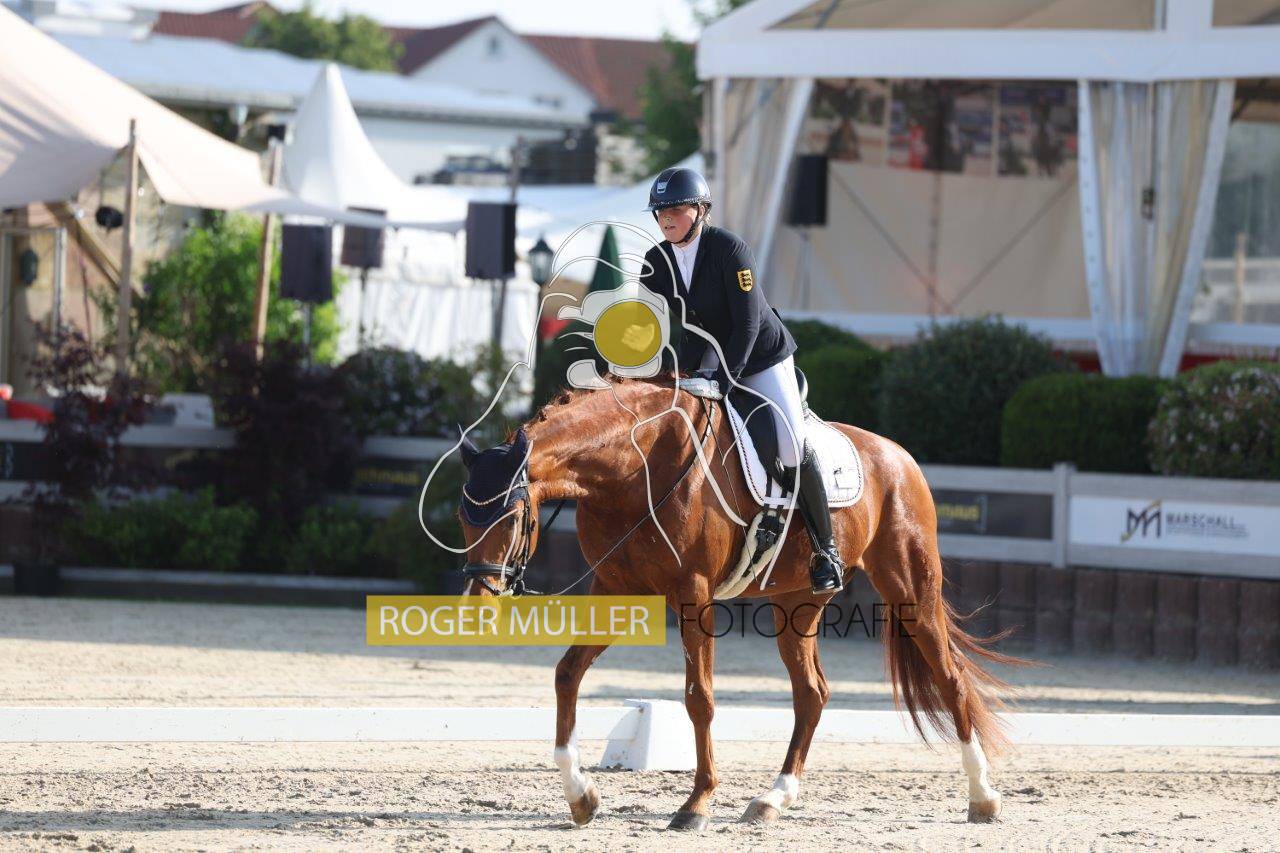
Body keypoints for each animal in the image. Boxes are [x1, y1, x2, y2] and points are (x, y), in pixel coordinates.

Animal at [453, 376, 1021, 830]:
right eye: (463, 518)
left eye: (510, 517)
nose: (480, 605)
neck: (633, 470)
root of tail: (899, 456)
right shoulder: (616, 590)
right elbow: (567, 675)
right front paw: (581, 796)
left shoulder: (694, 594)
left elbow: (698, 697)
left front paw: (696, 805)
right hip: (796, 603)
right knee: (812, 693)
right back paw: (773, 799)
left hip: (910, 589)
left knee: (949, 679)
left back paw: (983, 797)